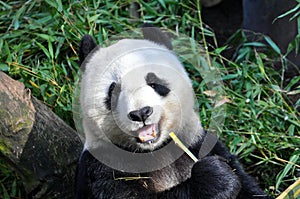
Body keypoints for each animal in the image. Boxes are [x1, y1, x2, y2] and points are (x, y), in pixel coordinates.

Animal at [75, 26, 272, 199]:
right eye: (114, 90)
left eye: (153, 82)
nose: (141, 113)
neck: (154, 150)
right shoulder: (102, 166)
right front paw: (215, 177)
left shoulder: (197, 141)